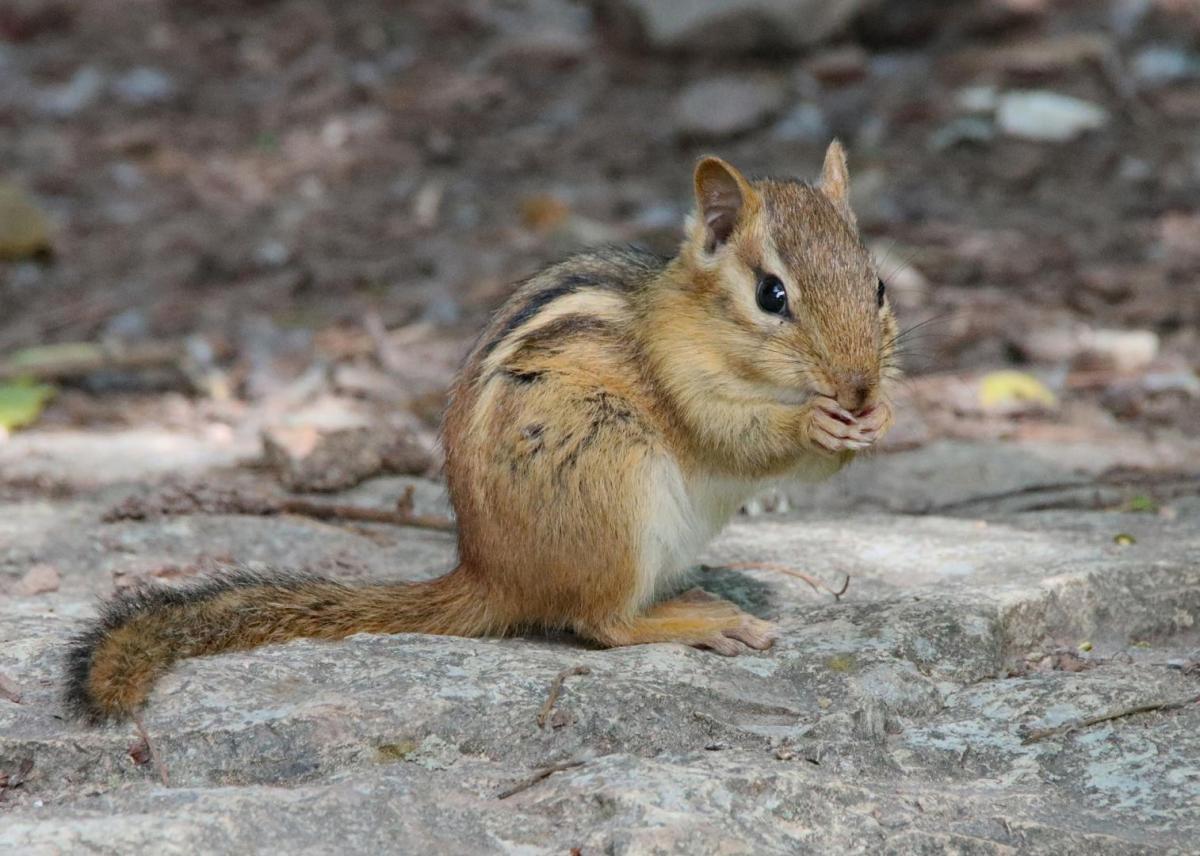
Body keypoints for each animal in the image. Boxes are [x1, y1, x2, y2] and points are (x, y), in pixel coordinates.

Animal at [66, 141, 898, 723]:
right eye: (771, 294)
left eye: (880, 284)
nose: (858, 385)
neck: (701, 322)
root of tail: (488, 571)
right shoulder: (677, 377)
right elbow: (731, 435)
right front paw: (811, 420)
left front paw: (879, 417)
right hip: (606, 467)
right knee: (598, 623)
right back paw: (702, 620)